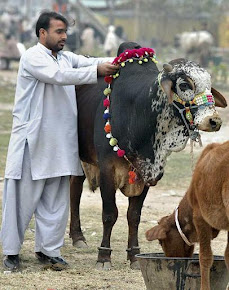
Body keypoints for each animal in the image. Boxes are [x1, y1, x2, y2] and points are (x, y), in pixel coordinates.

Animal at [69, 42, 226, 270]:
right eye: (184, 84)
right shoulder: (107, 169)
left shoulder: (148, 173)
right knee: (75, 189)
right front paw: (104, 256)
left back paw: (77, 236)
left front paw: (134, 255)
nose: (214, 121)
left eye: (209, 84)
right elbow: (109, 214)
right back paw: (78, 236)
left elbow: (133, 216)